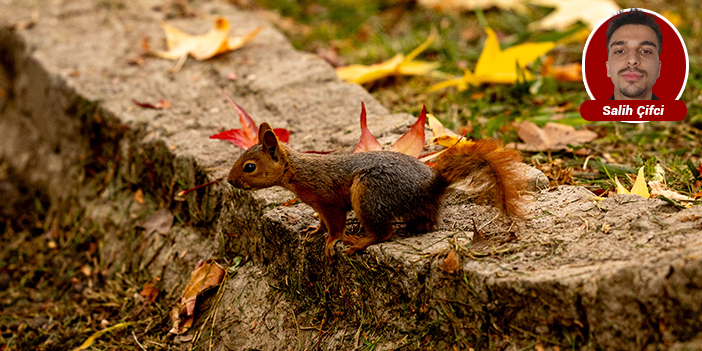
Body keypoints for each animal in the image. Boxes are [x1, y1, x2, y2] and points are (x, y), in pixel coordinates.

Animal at [230, 121, 528, 262]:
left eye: (249, 167)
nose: (231, 181)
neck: (296, 170)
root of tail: (425, 190)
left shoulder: (327, 199)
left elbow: (335, 224)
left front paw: (331, 241)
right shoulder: (318, 206)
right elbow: (321, 221)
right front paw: (315, 230)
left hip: (369, 194)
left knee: (384, 232)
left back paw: (359, 241)